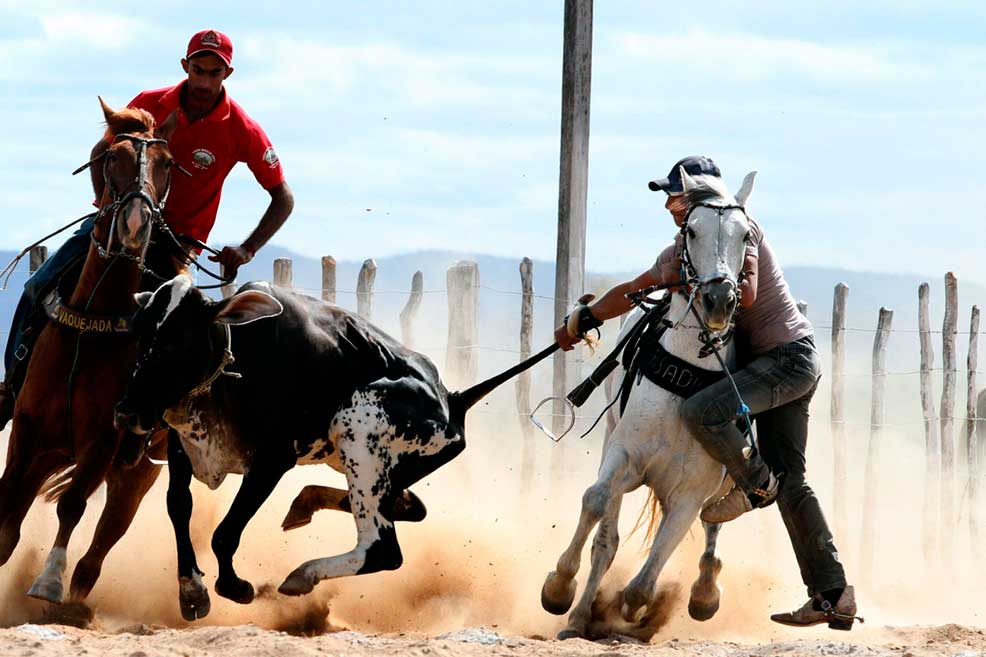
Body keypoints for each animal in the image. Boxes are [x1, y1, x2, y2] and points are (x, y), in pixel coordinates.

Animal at [0, 98, 188, 608]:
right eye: (111, 157)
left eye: (167, 164)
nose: (137, 223)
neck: (92, 327)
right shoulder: (27, 430)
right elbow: (6, 515)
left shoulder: (102, 443)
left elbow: (72, 505)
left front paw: (48, 580)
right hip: (51, 449)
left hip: (138, 466)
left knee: (110, 529)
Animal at [113, 272, 532, 620]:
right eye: (138, 333)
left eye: (178, 339)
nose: (126, 412)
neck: (240, 360)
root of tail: (451, 400)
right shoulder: (181, 447)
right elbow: (178, 507)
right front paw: (192, 591)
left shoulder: (272, 462)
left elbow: (225, 532)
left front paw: (236, 586)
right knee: (410, 507)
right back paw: (307, 504)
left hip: (359, 430)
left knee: (381, 547)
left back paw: (303, 574)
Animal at [540, 167, 752, 640]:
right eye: (692, 231)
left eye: (746, 235)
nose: (719, 301)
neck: (684, 381)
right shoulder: (623, 457)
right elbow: (596, 505)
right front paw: (560, 587)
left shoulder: (690, 493)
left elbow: (647, 579)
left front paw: (630, 610)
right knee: (606, 541)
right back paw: (578, 616)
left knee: (712, 529)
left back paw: (703, 594)